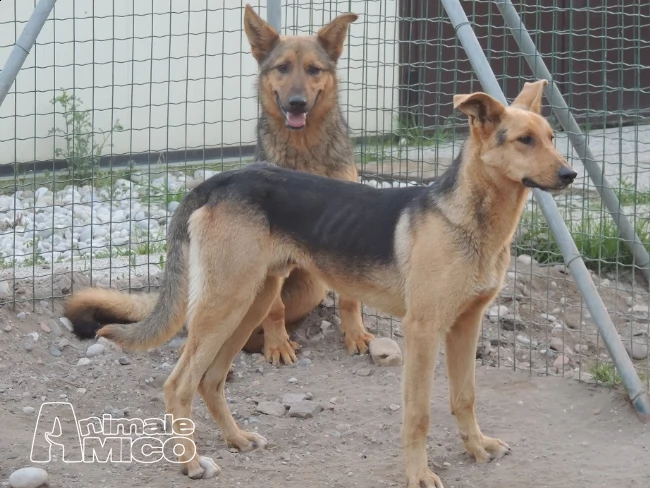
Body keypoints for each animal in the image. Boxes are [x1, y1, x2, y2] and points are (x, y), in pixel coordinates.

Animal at [65, 3, 372, 364]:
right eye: (282, 68)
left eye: (314, 70)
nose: (297, 103)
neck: (304, 148)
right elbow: (275, 311)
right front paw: (277, 345)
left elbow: (350, 300)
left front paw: (355, 335)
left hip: (310, 285)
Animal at [85, 80, 572, 484]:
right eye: (524, 140)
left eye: (551, 137)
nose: (570, 175)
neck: (470, 221)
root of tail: (220, 179)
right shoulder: (423, 330)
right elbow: (418, 414)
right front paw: (418, 474)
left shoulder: (466, 325)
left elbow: (465, 396)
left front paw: (477, 447)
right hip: (224, 305)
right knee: (179, 385)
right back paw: (190, 463)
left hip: (251, 303)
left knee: (212, 380)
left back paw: (237, 439)